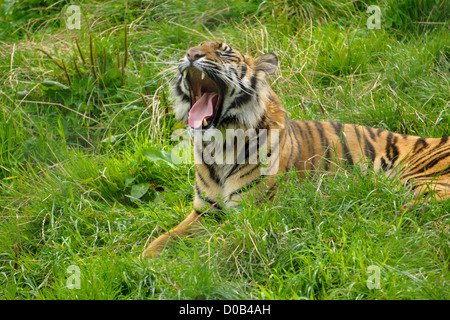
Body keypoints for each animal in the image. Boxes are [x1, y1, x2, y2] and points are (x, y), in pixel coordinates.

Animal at [142, 41, 450, 258]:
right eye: (192, 48)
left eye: (224, 53)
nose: (191, 55)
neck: (219, 144)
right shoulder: (205, 211)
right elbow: (165, 238)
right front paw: (143, 261)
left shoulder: (251, 212)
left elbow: (211, 241)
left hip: (419, 177)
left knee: (428, 206)